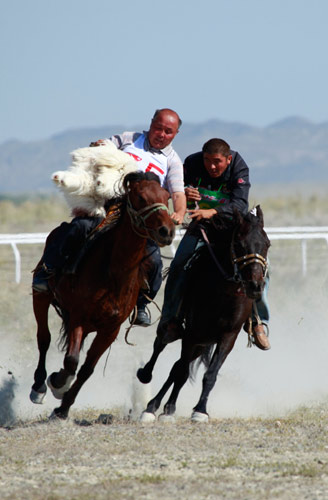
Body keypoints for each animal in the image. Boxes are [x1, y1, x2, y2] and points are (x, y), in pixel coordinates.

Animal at [29, 172, 176, 418]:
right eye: (140, 197)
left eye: (166, 196)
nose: (167, 231)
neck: (113, 274)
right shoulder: (78, 317)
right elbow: (71, 360)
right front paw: (58, 383)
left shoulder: (110, 329)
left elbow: (87, 368)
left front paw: (63, 407)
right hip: (40, 297)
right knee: (44, 338)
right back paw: (39, 386)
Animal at [137, 207, 270, 422]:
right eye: (239, 244)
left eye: (267, 244)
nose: (255, 286)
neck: (223, 292)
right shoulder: (191, 334)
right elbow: (182, 372)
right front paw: (166, 409)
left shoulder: (227, 337)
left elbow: (210, 374)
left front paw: (200, 410)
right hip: (177, 330)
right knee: (161, 346)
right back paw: (148, 391)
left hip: (203, 344)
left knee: (176, 367)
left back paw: (158, 405)